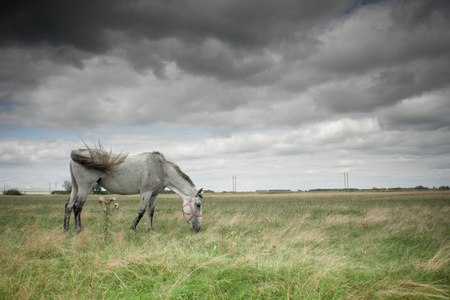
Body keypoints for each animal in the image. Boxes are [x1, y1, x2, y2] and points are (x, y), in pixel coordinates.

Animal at [62, 146, 203, 233]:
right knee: (77, 206)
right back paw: (78, 230)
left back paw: (66, 229)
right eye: (198, 204)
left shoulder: (154, 194)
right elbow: (141, 211)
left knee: (68, 205)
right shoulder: (146, 192)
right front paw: (132, 228)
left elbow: (151, 212)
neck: (161, 168)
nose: (198, 228)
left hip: (75, 186)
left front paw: (150, 229)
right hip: (85, 186)